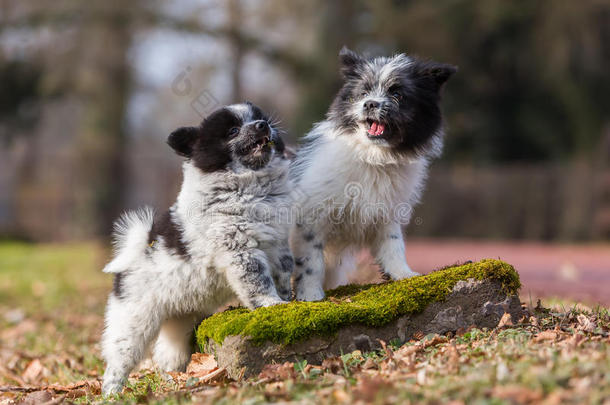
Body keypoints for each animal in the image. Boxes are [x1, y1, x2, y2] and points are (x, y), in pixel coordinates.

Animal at [101, 102, 294, 392]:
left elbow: (282, 276)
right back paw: (112, 392)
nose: (263, 125)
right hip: (134, 322)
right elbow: (258, 283)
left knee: (168, 355)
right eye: (233, 130)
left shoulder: (278, 245)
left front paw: (292, 300)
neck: (250, 187)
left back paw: (176, 381)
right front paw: (272, 305)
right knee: (119, 359)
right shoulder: (240, 251)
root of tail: (135, 251)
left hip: (180, 323)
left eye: (259, 118)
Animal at [290, 47, 456, 300]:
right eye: (363, 92)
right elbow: (311, 262)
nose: (369, 104)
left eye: (397, 94)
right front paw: (310, 296)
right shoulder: (310, 219)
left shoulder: (386, 213)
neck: (373, 156)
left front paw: (404, 276)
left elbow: (393, 245)